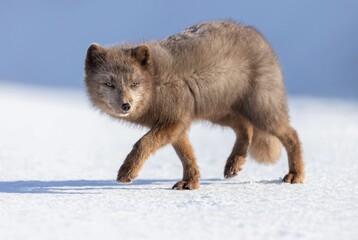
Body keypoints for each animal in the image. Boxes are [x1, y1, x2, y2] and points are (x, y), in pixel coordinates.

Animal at [84, 20, 304, 189]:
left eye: (134, 84)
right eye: (109, 84)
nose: (126, 106)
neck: (155, 83)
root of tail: (257, 35)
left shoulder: (173, 121)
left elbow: (143, 143)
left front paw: (127, 172)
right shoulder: (176, 124)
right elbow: (186, 155)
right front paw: (190, 182)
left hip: (261, 112)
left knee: (292, 135)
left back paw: (296, 175)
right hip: (217, 113)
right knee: (245, 128)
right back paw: (234, 164)